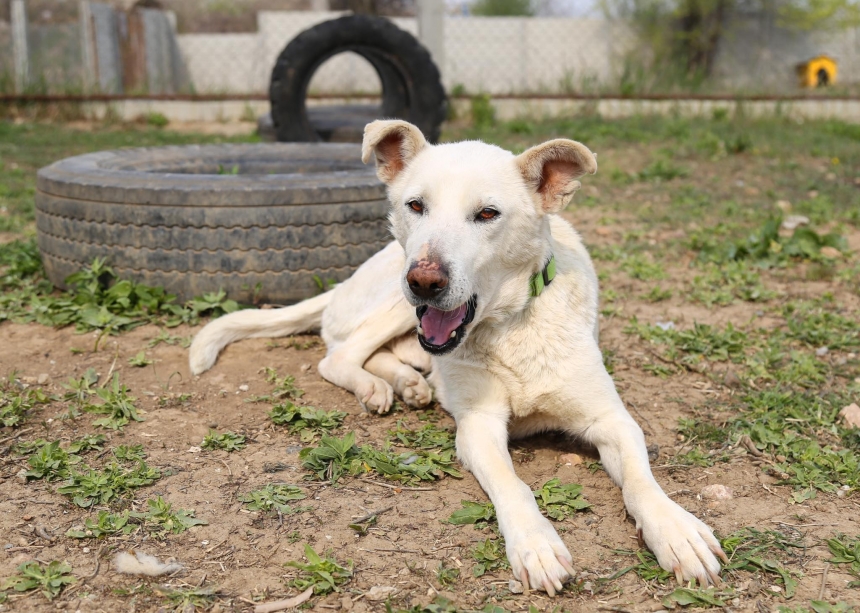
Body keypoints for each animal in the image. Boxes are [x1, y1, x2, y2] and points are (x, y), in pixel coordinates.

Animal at [190, 119, 724, 592]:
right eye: (416, 204)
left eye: (487, 214)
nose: (425, 280)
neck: (509, 327)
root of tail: (343, 284)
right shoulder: (478, 427)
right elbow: (512, 485)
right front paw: (536, 544)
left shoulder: (611, 420)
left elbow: (641, 482)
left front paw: (677, 531)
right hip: (393, 302)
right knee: (338, 354)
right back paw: (376, 386)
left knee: (381, 352)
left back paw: (407, 383)